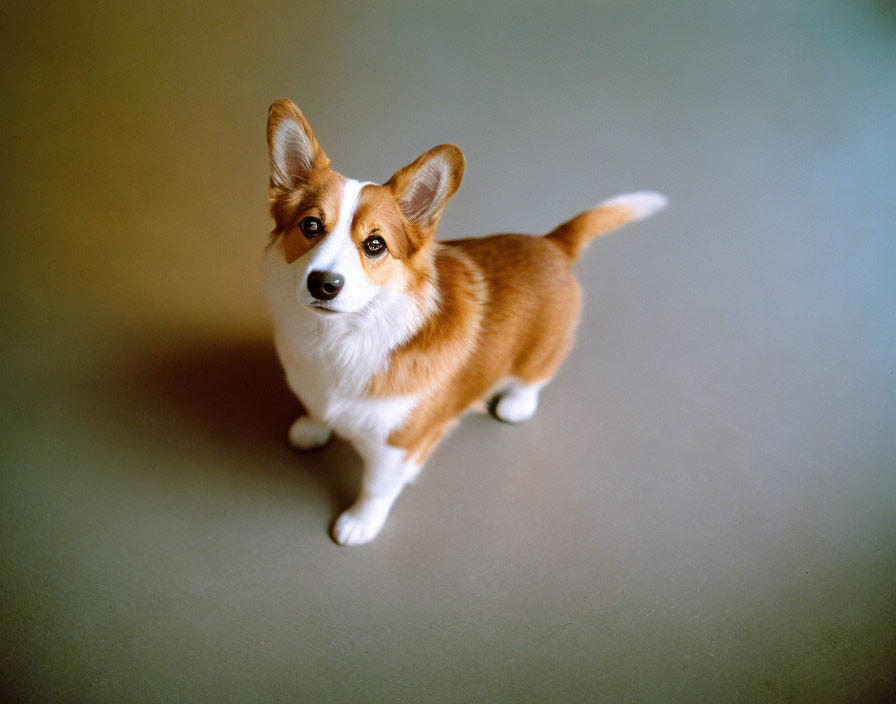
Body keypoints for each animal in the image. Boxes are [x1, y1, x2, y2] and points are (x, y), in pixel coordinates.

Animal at [260, 99, 664, 548]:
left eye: (375, 244)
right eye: (310, 225)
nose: (323, 284)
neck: (341, 338)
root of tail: (554, 243)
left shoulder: (398, 447)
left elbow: (376, 488)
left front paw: (359, 523)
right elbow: (316, 409)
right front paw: (312, 429)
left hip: (540, 353)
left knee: (535, 378)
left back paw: (516, 403)